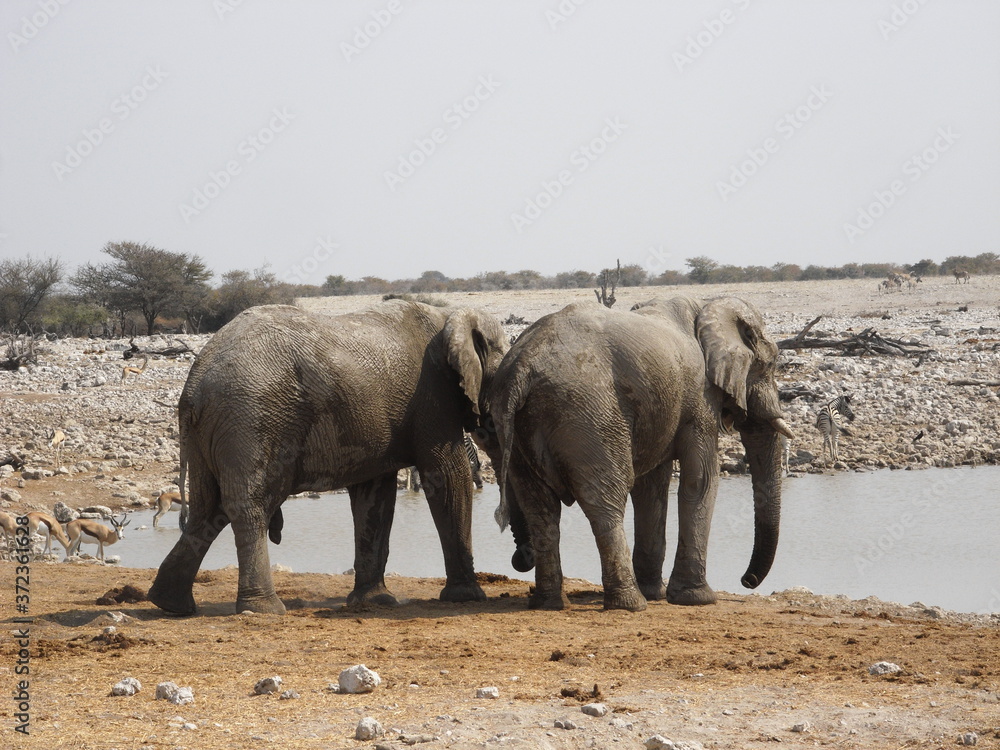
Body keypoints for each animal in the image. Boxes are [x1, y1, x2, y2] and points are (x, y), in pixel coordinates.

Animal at [147, 300, 508, 615]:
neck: (451, 316)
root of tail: (194, 383)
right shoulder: (434, 397)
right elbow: (447, 475)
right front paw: (467, 597)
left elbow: (374, 496)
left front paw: (375, 601)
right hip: (252, 418)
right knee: (249, 506)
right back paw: (264, 610)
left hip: (214, 431)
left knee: (208, 510)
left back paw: (170, 604)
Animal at [486, 295, 793, 612]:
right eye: (770, 365)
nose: (747, 580)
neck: (708, 308)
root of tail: (520, 369)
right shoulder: (700, 397)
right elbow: (700, 480)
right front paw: (697, 598)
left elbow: (651, 489)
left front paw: (657, 592)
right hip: (590, 415)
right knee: (606, 501)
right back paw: (630, 604)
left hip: (515, 427)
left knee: (540, 509)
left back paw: (550, 603)